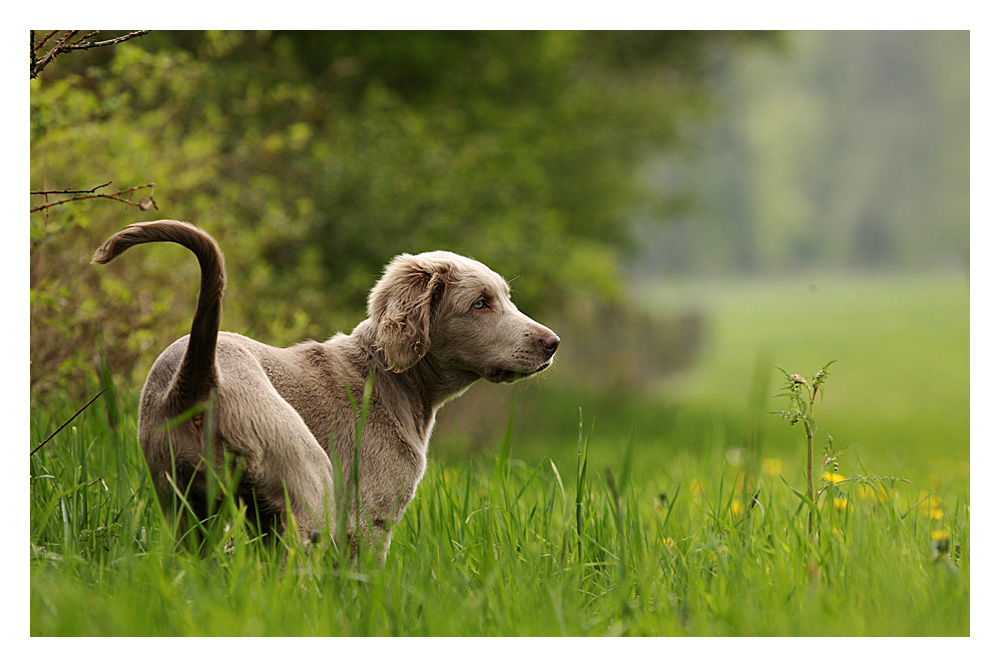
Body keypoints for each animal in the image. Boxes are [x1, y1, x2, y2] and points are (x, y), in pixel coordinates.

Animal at [94, 222, 560, 560]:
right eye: (480, 303)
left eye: (505, 297)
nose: (552, 343)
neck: (387, 378)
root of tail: (198, 380)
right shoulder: (368, 515)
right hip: (306, 475)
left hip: (186, 503)